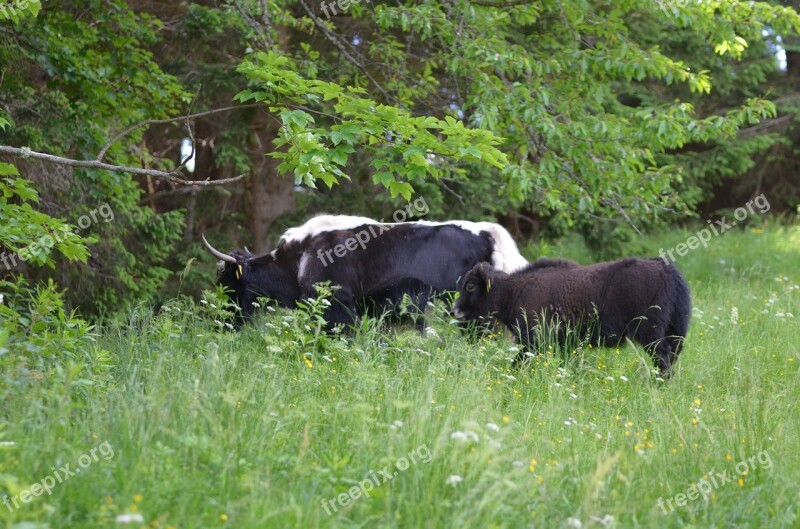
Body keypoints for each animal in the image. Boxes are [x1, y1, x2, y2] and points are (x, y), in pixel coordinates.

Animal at [454, 258, 692, 374]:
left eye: (471, 285)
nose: (455, 311)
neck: (512, 291)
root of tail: (667, 271)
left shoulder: (533, 342)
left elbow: (518, 363)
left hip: (652, 334)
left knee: (663, 358)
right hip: (673, 332)